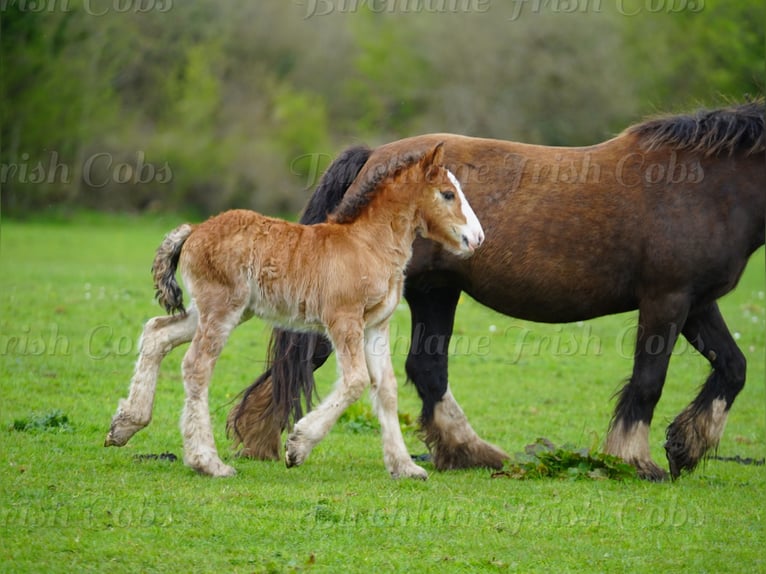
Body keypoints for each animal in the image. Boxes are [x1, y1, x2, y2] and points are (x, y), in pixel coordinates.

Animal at [104, 143, 484, 478]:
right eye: (448, 194)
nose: (477, 238)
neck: (367, 244)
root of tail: (195, 228)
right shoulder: (343, 320)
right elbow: (356, 381)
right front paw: (298, 445)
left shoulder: (376, 325)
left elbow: (386, 389)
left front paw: (404, 467)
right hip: (221, 308)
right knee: (196, 366)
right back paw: (208, 463)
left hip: (217, 310)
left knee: (157, 332)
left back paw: (124, 425)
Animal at [227, 101, 765, 481]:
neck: (706, 190)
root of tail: (373, 156)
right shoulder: (667, 300)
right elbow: (649, 381)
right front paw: (636, 460)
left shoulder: (697, 303)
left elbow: (733, 368)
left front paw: (686, 446)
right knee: (310, 356)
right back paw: (268, 439)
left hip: (435, 292)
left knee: (426, 369)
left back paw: (468, 451)